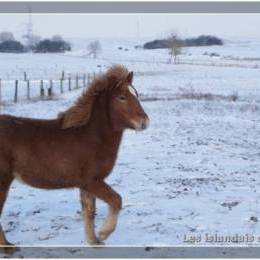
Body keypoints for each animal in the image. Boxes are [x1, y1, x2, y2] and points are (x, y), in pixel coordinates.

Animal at [0, 65, 149, 254]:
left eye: (135, 94)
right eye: (122, 97)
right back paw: (7, 247)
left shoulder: (87, 185)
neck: (91, 137)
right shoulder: (91, 181)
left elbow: (89, 211)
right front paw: (103, 233)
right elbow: (116, 200)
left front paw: (94, 241)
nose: (145, 122)